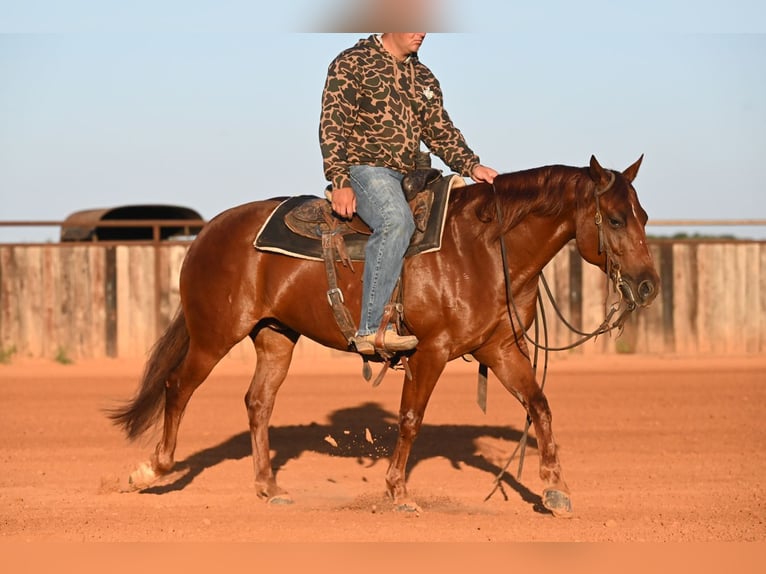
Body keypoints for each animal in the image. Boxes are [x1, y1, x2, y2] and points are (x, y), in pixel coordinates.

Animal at [109, 155, 659, 518]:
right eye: (614, 218)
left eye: (644, 216)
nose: (649, 285)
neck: (482, 249)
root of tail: (208, 232)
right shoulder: (431, 351)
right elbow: (411, 419)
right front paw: (398, 491)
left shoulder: (500, 348)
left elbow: (540, 406)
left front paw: (555, 490)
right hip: (214, 334)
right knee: (178, 388)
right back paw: (150, 472)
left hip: (275, 336)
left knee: (258, 402)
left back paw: (268, 487)